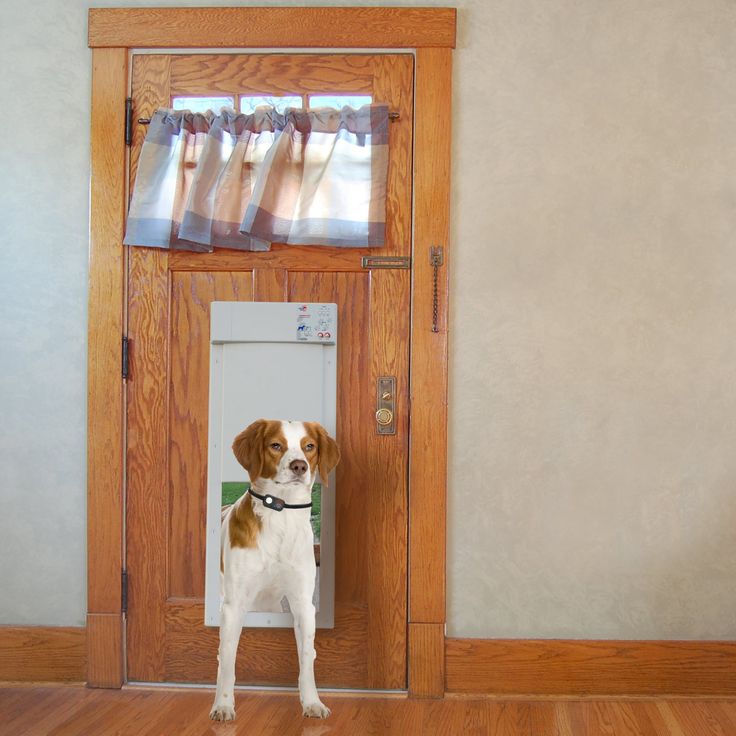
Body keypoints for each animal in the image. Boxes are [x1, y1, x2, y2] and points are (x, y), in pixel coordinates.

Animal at [210, 416, 340, 720]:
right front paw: (223, 705)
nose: (299, 465)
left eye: (309, 446)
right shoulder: (233, 605)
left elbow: (307, 658)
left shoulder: (302, 603)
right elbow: (228, 659)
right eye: (276, 445)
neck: (280, 517)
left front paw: (312, 702)